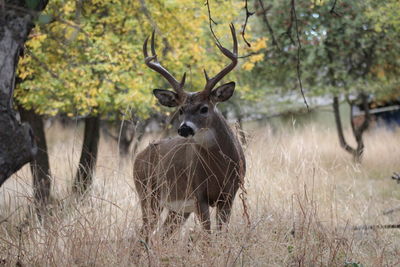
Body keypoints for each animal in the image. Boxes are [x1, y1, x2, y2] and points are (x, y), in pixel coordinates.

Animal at [134, 23, 245, 241]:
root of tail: (137, 158)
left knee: (162, 233)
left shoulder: (230, 194)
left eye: (204, 108)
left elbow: (221, 234)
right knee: (143, 233)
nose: (184, 128)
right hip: (148, 194)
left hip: (177, 209)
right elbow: (208, 236)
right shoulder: (198, 194)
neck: (219, 169)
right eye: (181, 110)